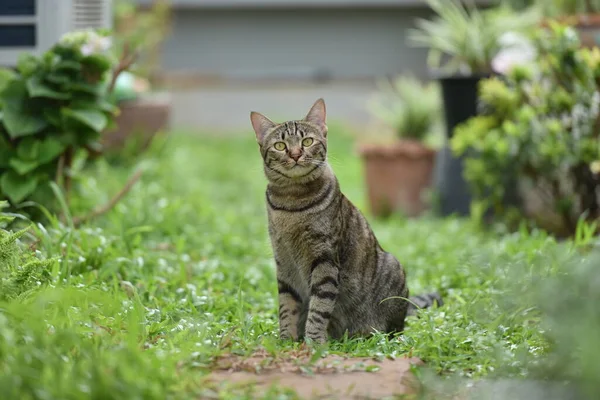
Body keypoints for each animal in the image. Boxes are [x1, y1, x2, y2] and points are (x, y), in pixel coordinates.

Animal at [248, 97, 440, 344]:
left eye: (307, 141)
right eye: (280, 146)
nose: (295, 154)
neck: (292, 201)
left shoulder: (325, 259)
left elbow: (319, 307)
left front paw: (314, 342)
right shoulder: (284, 262)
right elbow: (286, 307)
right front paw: (286, 340)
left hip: (393, 270)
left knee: (394, 329)